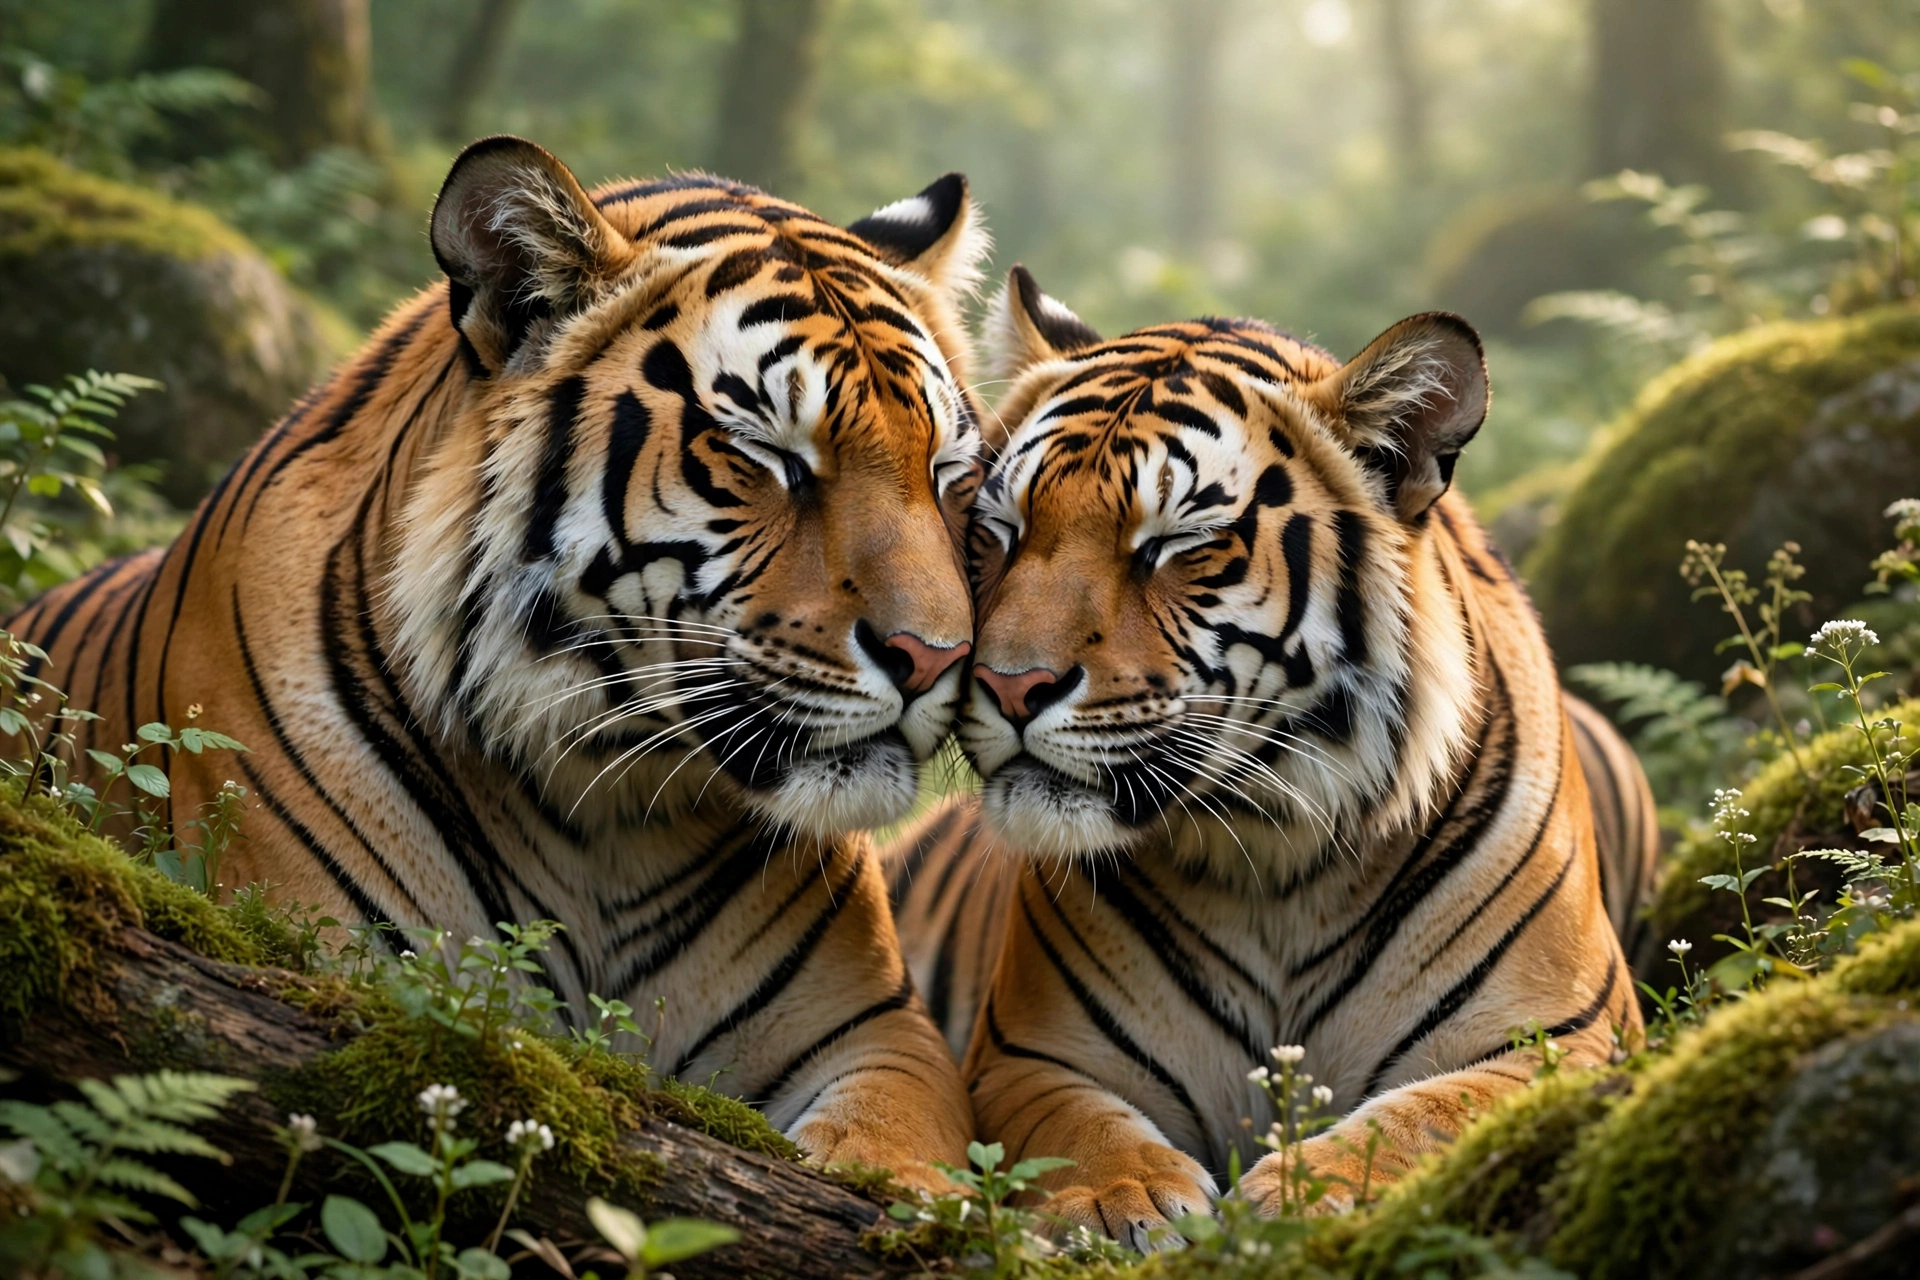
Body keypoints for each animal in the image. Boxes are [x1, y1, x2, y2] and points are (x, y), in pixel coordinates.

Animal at [8, 135, 994, 1189]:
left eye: (948, 472)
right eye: (766, 454)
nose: (935, 657)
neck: (614, 811)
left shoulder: (885, 1035)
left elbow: (897, 1165)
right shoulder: (326, 957)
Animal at [883, 266, 1644, 1245]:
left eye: (1174, 544)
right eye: (996, 529)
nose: (1009, 686)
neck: (1277, 859)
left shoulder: (1567, 1036)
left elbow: (1426, 1118)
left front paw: (1306, 1193)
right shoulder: (1029, 1053)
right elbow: (1078, 1131)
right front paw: (1118, 1198)